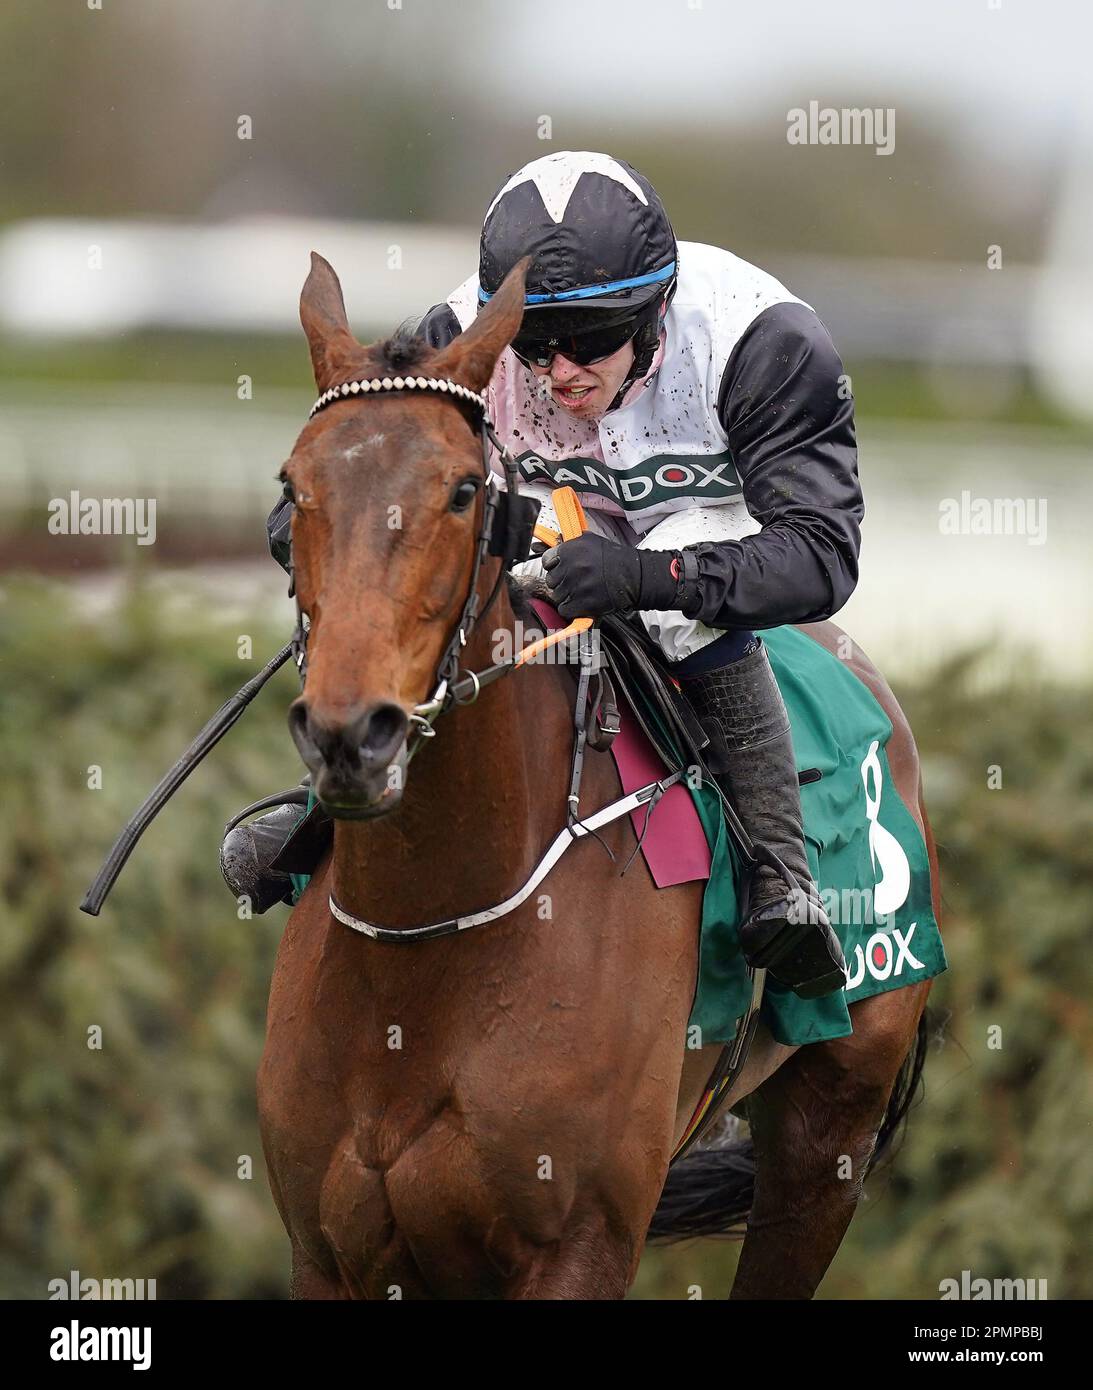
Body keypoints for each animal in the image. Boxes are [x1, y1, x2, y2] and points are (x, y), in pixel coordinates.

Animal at [257, 252, 934, 1301]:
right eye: (295, 487)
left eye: (463, 491)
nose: (349, 736)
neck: (430, 939)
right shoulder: (329, 1254)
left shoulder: (581, 1243)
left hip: (827, 1139)